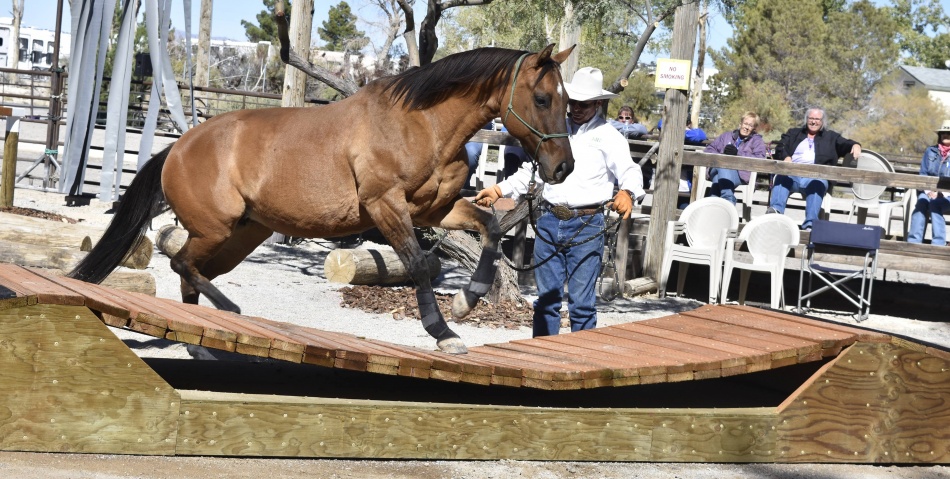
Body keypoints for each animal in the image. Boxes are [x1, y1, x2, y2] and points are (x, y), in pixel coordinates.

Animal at [70, 45, 576, 354]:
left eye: (567, 101)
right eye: (542, 98)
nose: (562, 168)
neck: (421, 125)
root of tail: (176, 148)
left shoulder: (435, 209)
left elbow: (488, 228)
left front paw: (465, 303)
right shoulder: (385, 205)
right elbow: (416, 264)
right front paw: (444, 332)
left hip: (240, 236)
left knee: (192, 273)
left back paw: (201, 333)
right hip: (216, 229)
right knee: (181, 263)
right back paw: (229, 313)